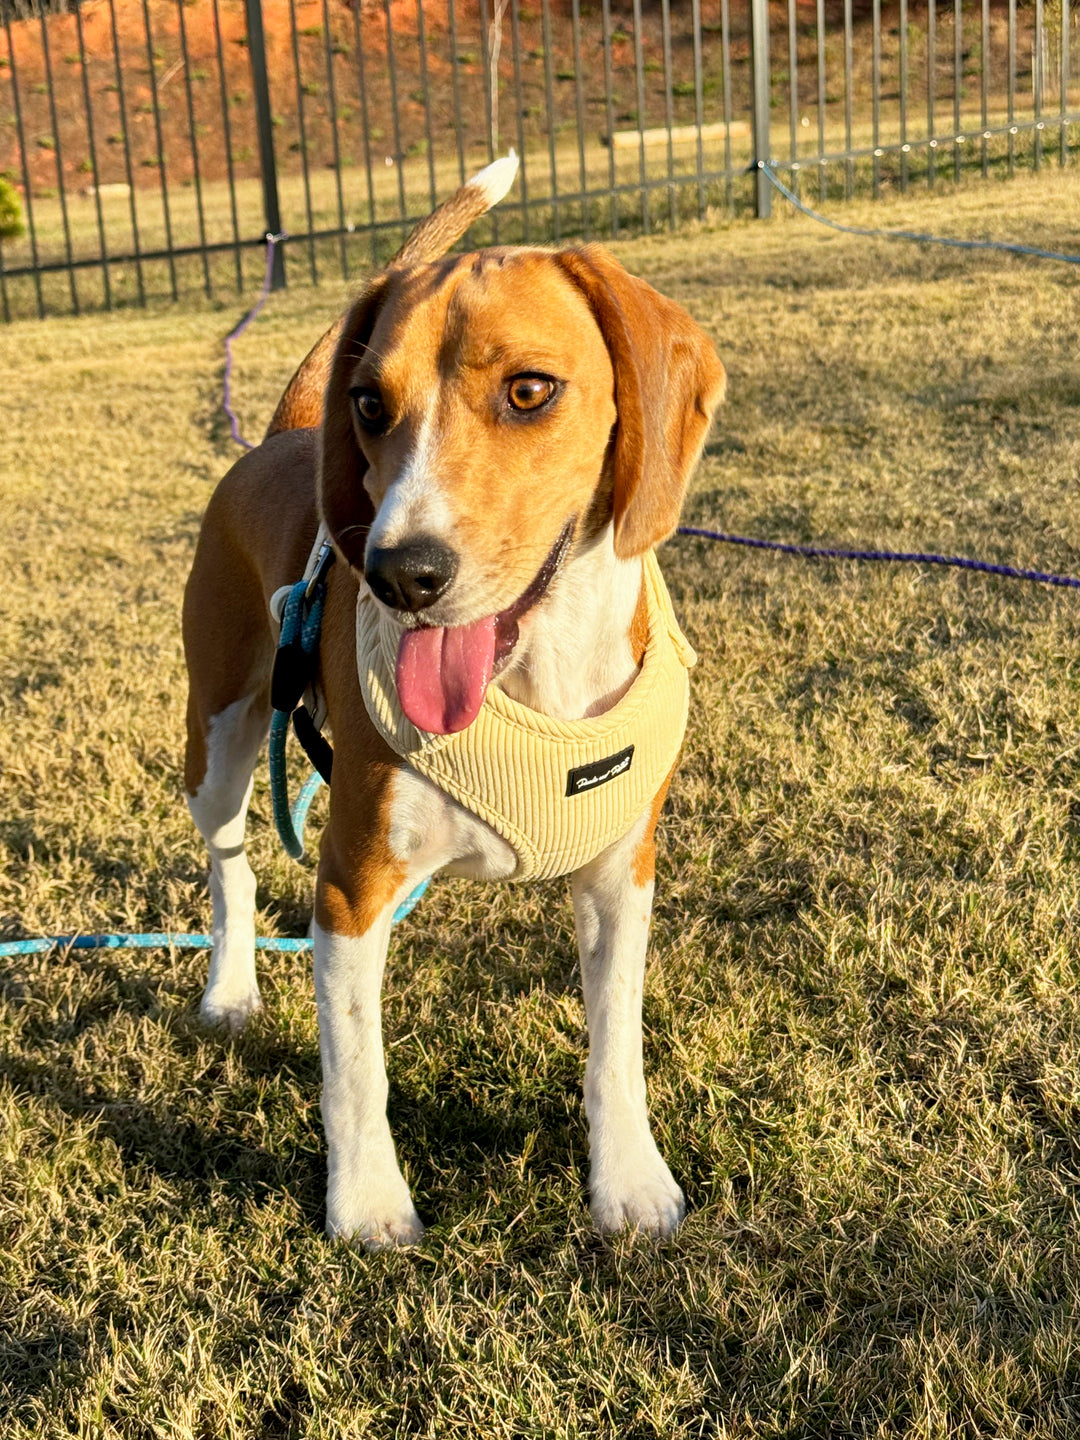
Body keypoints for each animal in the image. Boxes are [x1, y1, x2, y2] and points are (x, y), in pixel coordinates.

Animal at [185, 151, 728, 1244]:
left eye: (530, 390)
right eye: (369, 405)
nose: (402, 573)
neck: (536, 683)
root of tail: (279, 437)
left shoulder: (621, 874)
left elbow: (617, 1047)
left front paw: (628, 1182)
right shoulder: (349, 888)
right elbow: (356, 1070)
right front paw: (366, 1205)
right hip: (216, 743)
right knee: (230, 866)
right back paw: (228, 987)